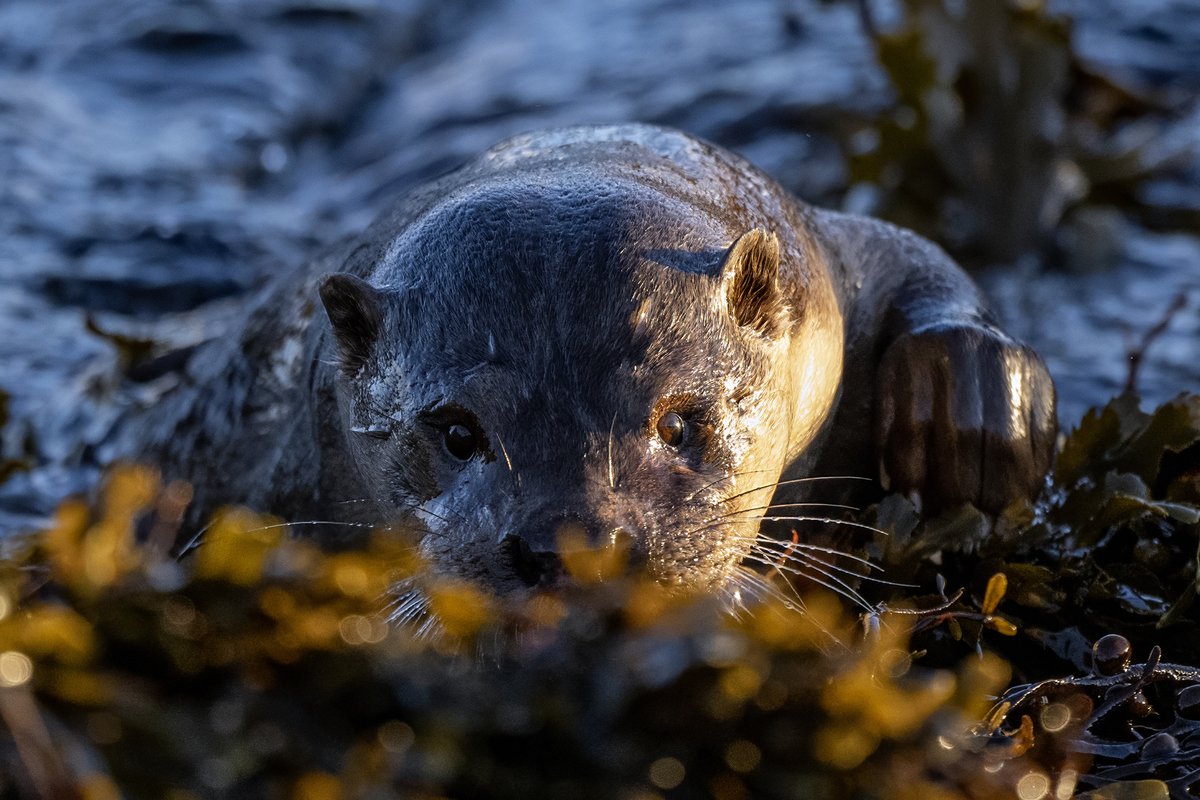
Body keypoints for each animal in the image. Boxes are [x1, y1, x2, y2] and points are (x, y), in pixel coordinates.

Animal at [117, 125, 1056, 597]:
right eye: (457, 434)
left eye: (681, 420)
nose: (574, 545)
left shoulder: (829, 264)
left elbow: (913, 256)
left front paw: (970, 398)